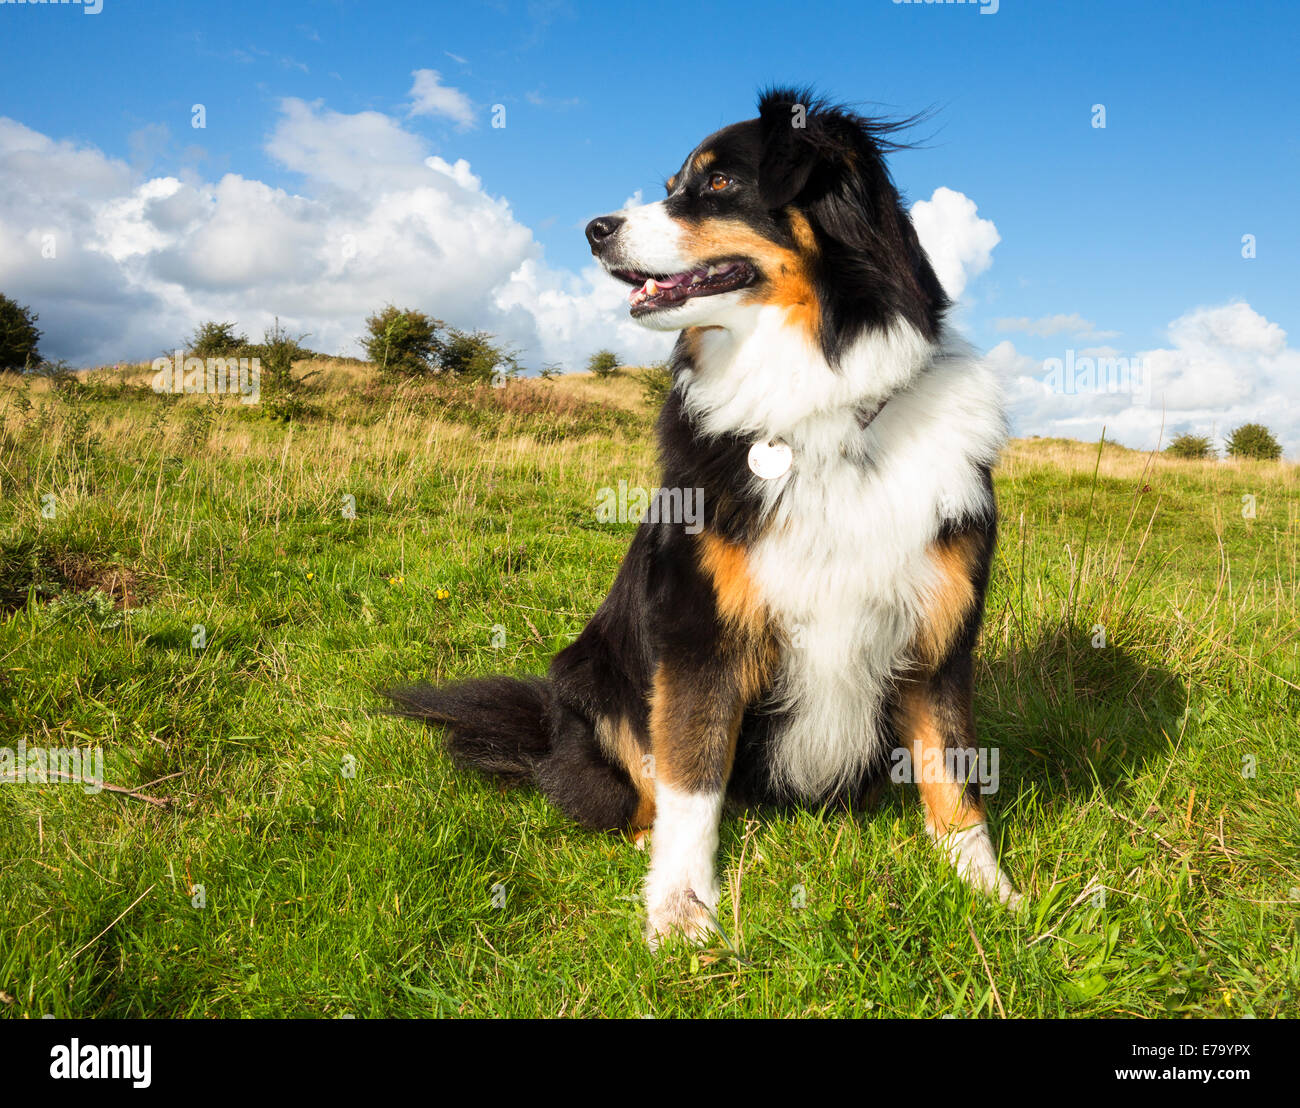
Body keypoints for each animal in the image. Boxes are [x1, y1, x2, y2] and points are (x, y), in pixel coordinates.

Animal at [390, 91, 1019, 946]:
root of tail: (546, 727)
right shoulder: (699, 629)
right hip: (593, 675)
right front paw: (682, 910)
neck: (818, 411)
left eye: (718, 182)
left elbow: (951, 768)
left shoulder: (939, 627)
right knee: (628, 789)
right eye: (671, 184)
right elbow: (690, 781)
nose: (593, 229)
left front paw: (989, 892)